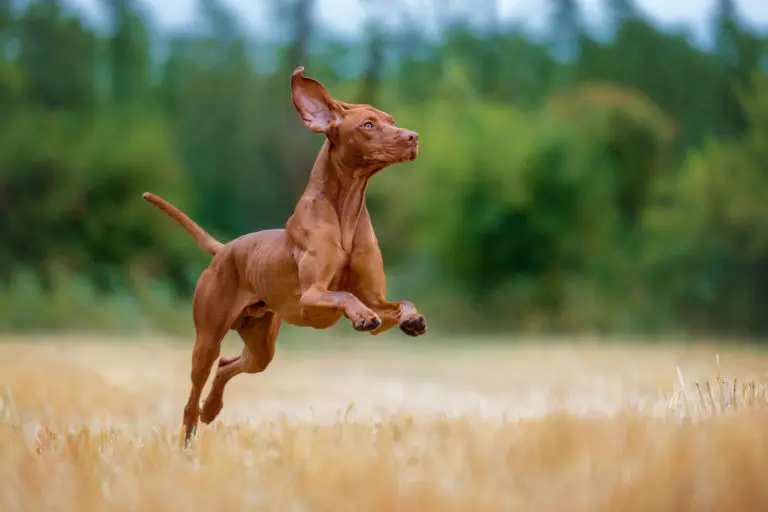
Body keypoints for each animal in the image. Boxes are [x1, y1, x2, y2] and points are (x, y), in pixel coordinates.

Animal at [143, 67, 428, 444]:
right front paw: (361, 316)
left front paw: (412, 319)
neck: (346, 212)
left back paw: (211, 409)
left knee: (228, 365)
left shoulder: (378, 298)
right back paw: (189, 436)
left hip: (261, 345)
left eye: (391, 120)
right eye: (368, 124)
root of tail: (224, 249)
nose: (413, 137)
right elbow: (345, 294)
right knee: (193, 395)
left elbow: (400, 302)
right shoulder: (313, 294)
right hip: (206, 341)